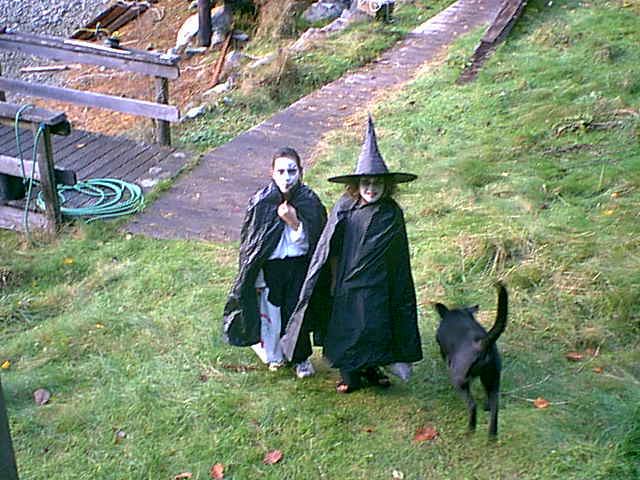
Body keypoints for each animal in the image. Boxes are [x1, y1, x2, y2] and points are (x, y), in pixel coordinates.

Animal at [434, 283, 508, 436]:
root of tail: (482, 343)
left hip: (459, 380)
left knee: (472, 406)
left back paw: (470, 429)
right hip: (492, 379)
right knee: (494, 407)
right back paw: (492, 435)